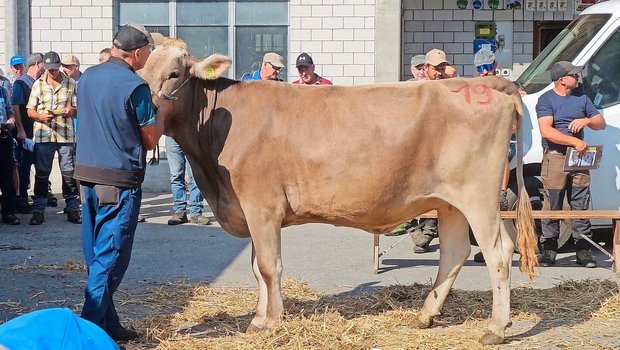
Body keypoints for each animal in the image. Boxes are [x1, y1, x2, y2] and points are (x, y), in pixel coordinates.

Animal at [140, 39, 536, 344]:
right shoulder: (250, 210)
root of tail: (489, 86)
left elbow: (269, 266)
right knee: (454, 253)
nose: (142, 105)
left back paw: (496, 329)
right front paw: (258, 318)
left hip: (478, 197)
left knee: (498, 252)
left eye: (175, 74)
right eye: (142, 67)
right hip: (448, 201)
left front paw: (271, 321)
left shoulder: (261, 205)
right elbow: (256, 267)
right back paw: (425, 315)